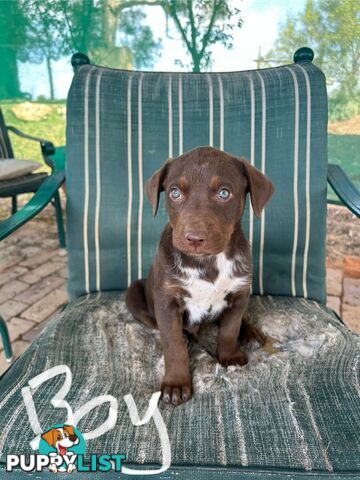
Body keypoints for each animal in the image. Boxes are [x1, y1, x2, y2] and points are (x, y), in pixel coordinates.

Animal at [125, 145, 274, 404]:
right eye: (174, 193)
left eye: (224, 193)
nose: (194, 238)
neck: (207, 262)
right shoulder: (166, 302)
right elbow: (172, 344)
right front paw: (176, 383)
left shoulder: (240, 292)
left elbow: (229, 329)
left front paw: (230, 355)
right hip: (134, 292)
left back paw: (251, 333)